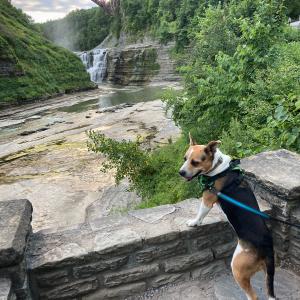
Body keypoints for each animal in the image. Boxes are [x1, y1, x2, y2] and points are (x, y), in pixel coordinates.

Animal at [179, 135, 276, 300]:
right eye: (185, 158)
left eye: (195, 162)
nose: (181, 172)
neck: (217, 168)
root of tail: (268, 247)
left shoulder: (207, 199)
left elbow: (200, 213)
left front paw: (194, 222)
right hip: (266, 272)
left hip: (237, 268)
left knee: (253, 296)